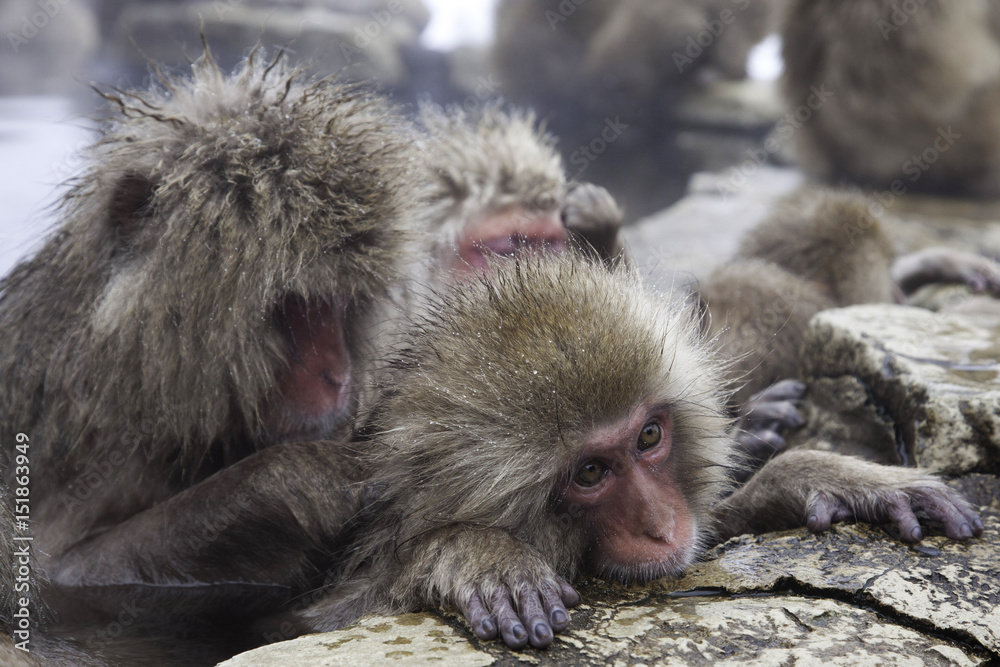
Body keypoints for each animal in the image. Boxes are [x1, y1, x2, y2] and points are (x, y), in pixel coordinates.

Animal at [0, 46, 424, 662]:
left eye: (342, 303)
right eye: (296, 304)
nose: (338, 376)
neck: (140, 372)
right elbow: (54, 573)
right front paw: (297, 481)